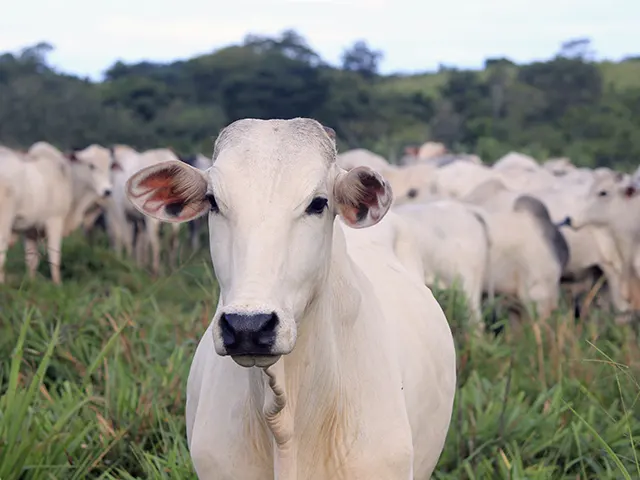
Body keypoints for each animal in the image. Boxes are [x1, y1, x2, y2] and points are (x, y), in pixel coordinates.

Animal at [0, 141, 113, 284]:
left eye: (109, 166)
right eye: (91, 165)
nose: (107, 191)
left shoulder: (30, 229)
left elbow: (31, 260)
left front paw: (31, 283)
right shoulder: (54, 221)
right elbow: (54, 257)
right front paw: (57, 284)